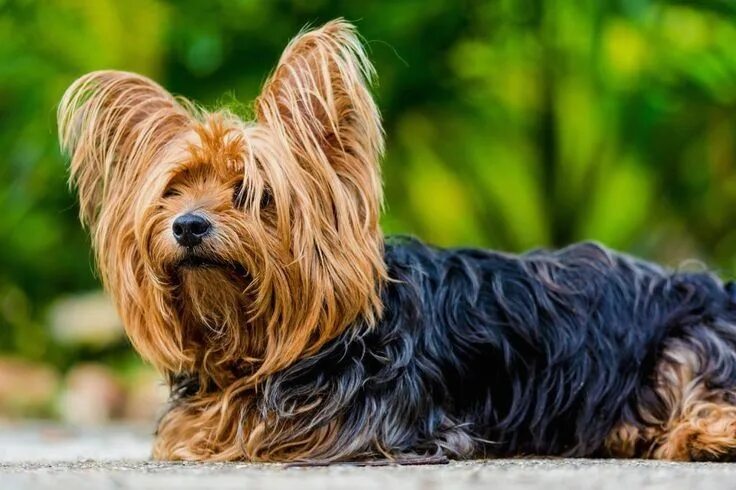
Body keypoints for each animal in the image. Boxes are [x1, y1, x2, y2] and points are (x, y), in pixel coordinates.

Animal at [59, 20, 736, 464]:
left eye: (251, 191)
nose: (188, 226)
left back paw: (705, 438)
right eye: (173, 191)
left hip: (685, 343)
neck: (263, 343)